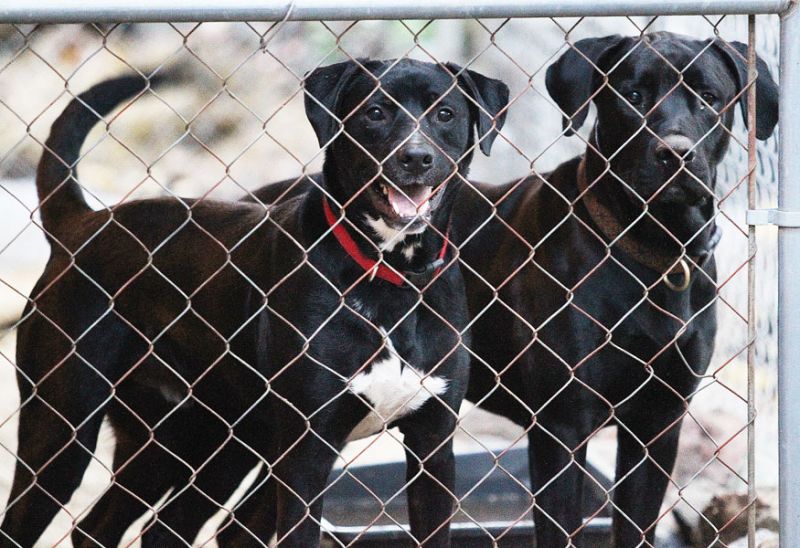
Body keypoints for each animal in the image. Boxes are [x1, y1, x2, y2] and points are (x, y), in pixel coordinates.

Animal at [0, 57, 510, 544]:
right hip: (62, 428)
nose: (416, 157)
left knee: (126, 528)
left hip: (189, 441)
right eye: (375, 113)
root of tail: (78, 225)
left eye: (445, 113)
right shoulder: (307, 453)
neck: (391, 277)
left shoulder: (432, 446)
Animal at [227, 32, 780, 544]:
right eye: (633, 94)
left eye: (709, 96)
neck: (649, 250)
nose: (676, 154)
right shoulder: (562, 426)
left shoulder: (657, 425)